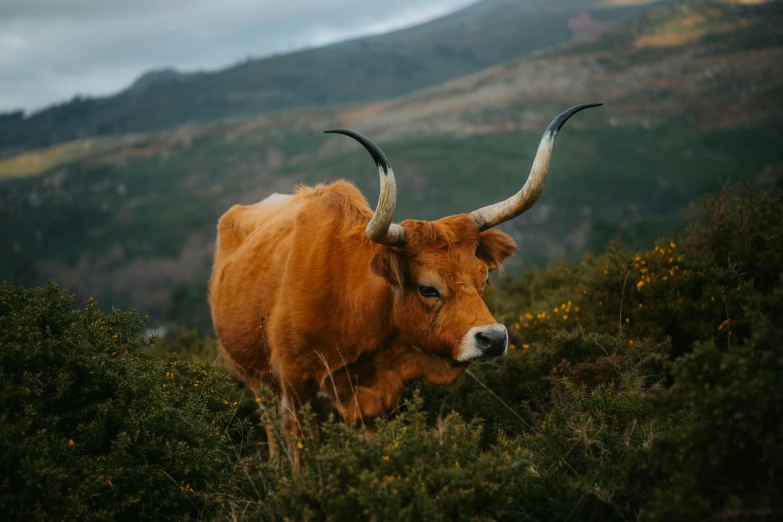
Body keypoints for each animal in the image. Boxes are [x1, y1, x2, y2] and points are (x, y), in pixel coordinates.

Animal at [207, 102, 600, 468]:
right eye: (427, 288)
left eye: (484, 278)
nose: (493, 339)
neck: (350, 303)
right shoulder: (293, 387)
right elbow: (302, 458)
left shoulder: (375, 404)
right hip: (256, 380)